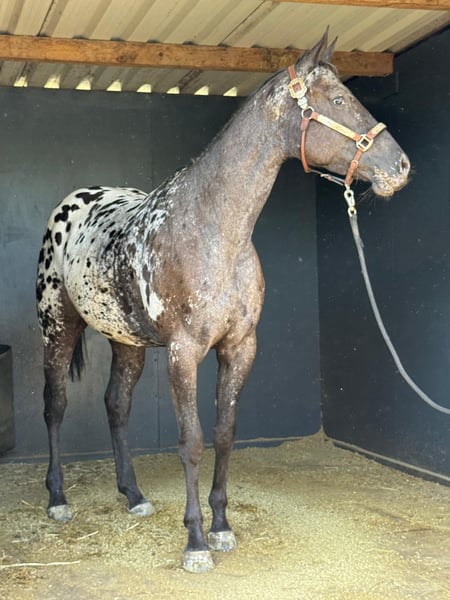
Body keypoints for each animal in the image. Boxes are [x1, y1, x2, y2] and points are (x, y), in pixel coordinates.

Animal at [36, 31, 410, 573]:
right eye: (340, 101)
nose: (400, 167)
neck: (213, 232)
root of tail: (70, 205)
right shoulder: (183, 353)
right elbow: (191, 441)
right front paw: (195, 542)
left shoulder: (239, 347)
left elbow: (225, 434)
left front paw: (221, 527)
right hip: (58, 327)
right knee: (56, 405)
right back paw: (58, 498)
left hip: (126, 341)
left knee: (116, 406)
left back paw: (134, 496)